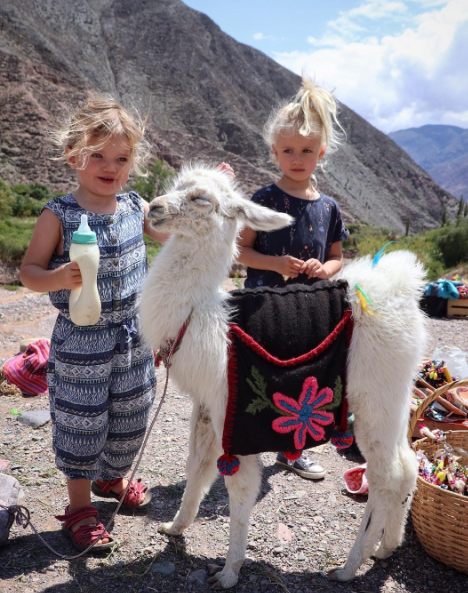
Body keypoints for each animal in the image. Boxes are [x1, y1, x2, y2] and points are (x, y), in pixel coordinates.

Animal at [140, 164, 427, 589]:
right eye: (176, 186)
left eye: (201, 198)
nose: (154, 208)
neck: (202, 312)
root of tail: (401, 288)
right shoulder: (206, 405)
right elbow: (197, 467)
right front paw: (175, 528)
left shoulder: (234, 412)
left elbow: (240, 489)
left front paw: (229, 571)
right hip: (395, 395)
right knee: (407, 466)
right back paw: (387, 547)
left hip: (374, 399)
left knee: (387, 478)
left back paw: (348, 567)